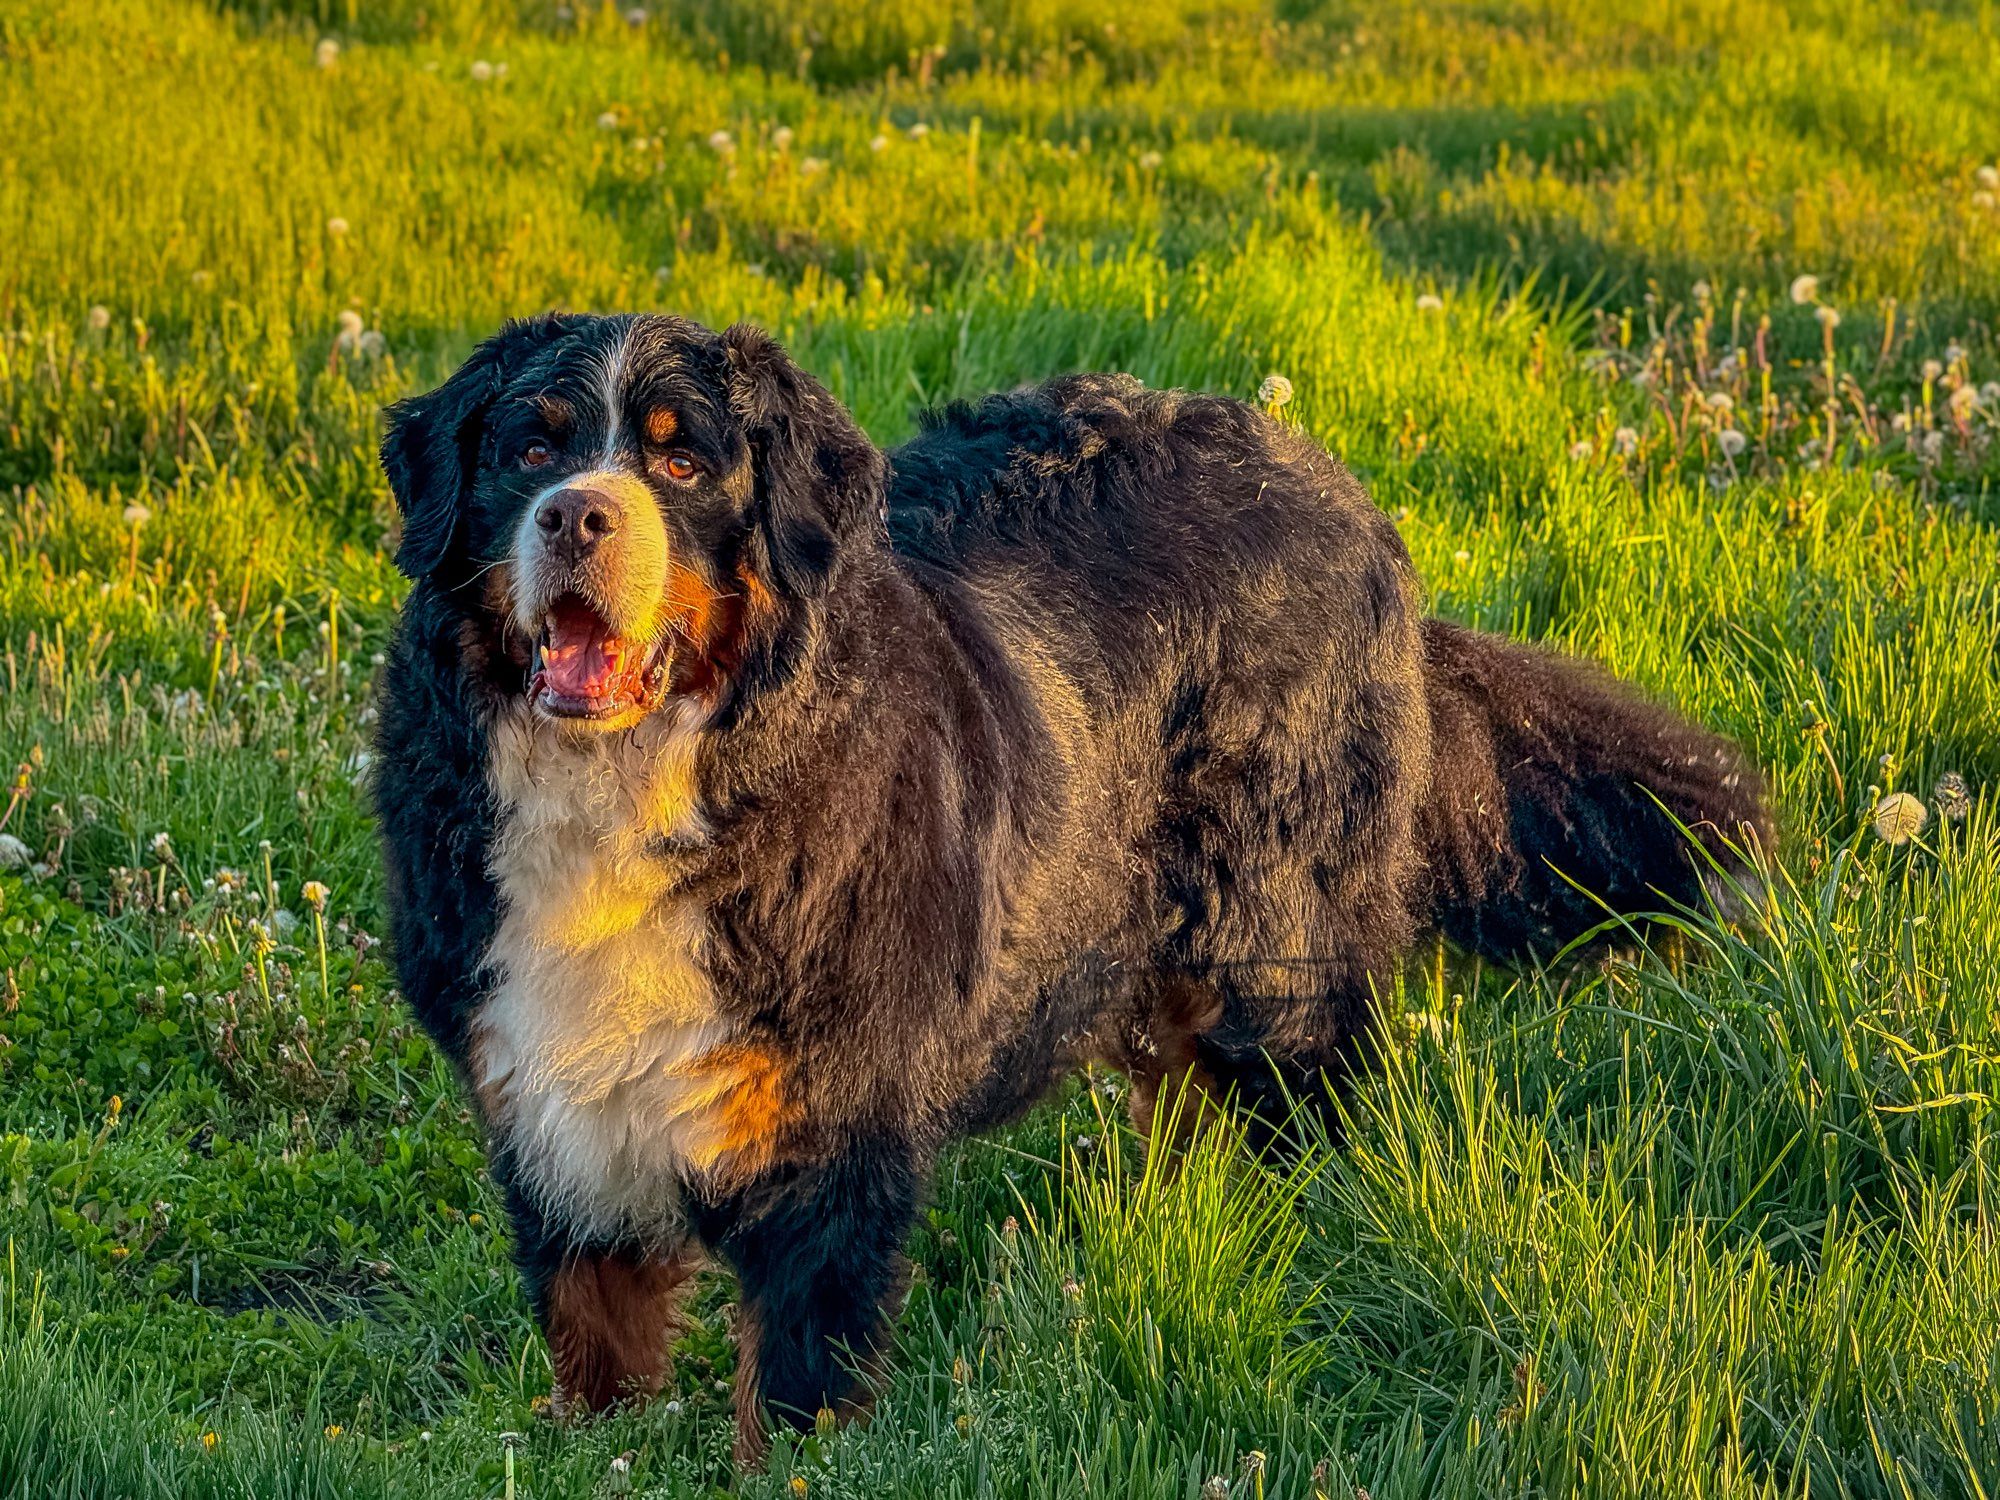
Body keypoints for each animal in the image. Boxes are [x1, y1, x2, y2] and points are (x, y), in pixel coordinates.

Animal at [372, 314, 1768, 1456]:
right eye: (530, 449)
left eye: (676, 462)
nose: (575, 515)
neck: (637, 790)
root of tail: (1334, 483)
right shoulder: (541, 1109)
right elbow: (594, 1343)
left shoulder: (832, 1140)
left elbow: (792, 1391)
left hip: (1276, 946)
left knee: (1309, 1103)